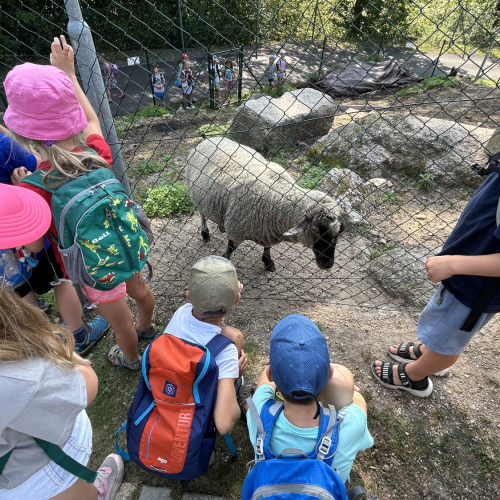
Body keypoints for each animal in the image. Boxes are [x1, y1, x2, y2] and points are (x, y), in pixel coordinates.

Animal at [186, 137, 346, 272]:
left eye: (338, 233)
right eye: (315, 230)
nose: (327, 264)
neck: (278, 198)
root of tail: (209, 139)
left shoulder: (267, 228)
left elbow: (267, 248)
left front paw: (268, 262)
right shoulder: (236, 229)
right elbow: (230, 249)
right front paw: (224, 260)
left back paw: (220, 226)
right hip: (198, 197)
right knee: (202, 215)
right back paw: (205, 233)